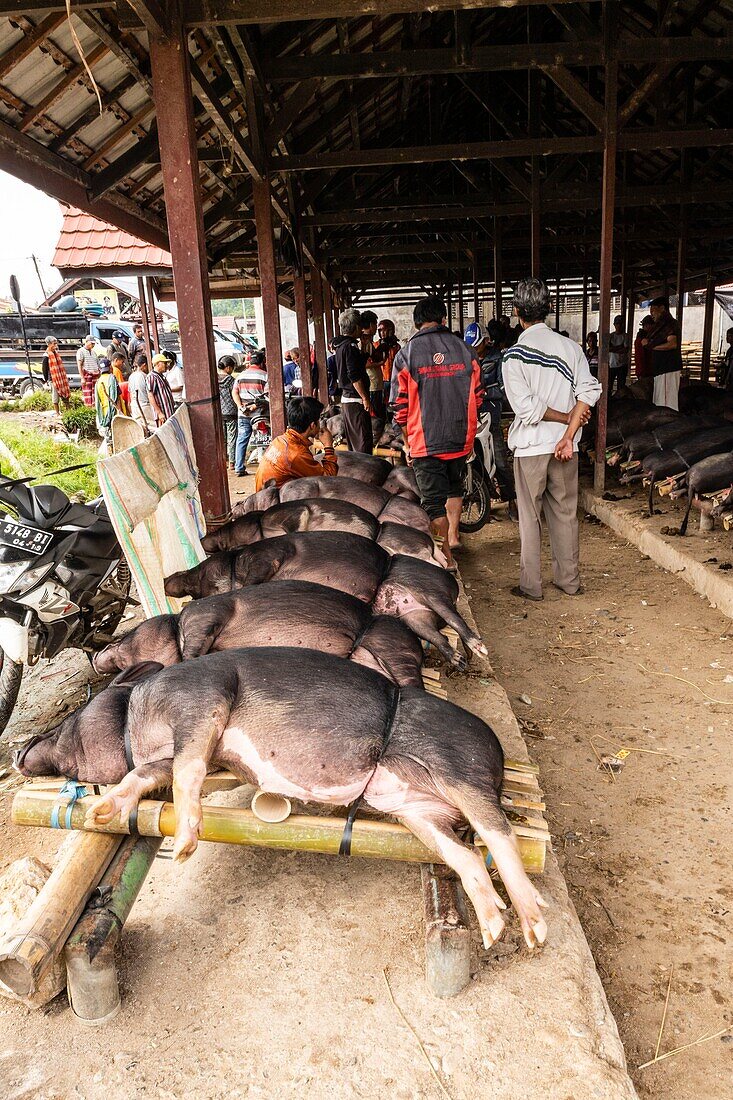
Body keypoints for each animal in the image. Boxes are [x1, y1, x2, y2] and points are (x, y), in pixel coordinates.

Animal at [17, 646, 545, 950]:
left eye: (70, 717)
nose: (20, 751)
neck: (137, 716)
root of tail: (500, 758)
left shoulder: (202, 702)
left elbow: (187, 769)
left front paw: (185, 848)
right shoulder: (193, 755)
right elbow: (147, 773)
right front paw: (103, 811)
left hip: (460, 772)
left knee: (502, 836)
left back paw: (535, 930)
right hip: (417, 811)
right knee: (466, 856)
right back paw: (494, 931)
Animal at [93, 580, 457, 682]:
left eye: (126, 634)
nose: (96, 655)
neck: (175, 626)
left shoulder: (205, 616)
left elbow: (192, 650)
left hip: (391, 645)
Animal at [165, 530, 484, 660]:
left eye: (201, 570)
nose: (169, 580)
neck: (236, 564)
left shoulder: (268, 558)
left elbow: (255, 579)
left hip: (429, 590)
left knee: (454, 617)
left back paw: (478, 647)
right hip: (414, 616)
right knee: (439, 635)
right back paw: (458, 659)